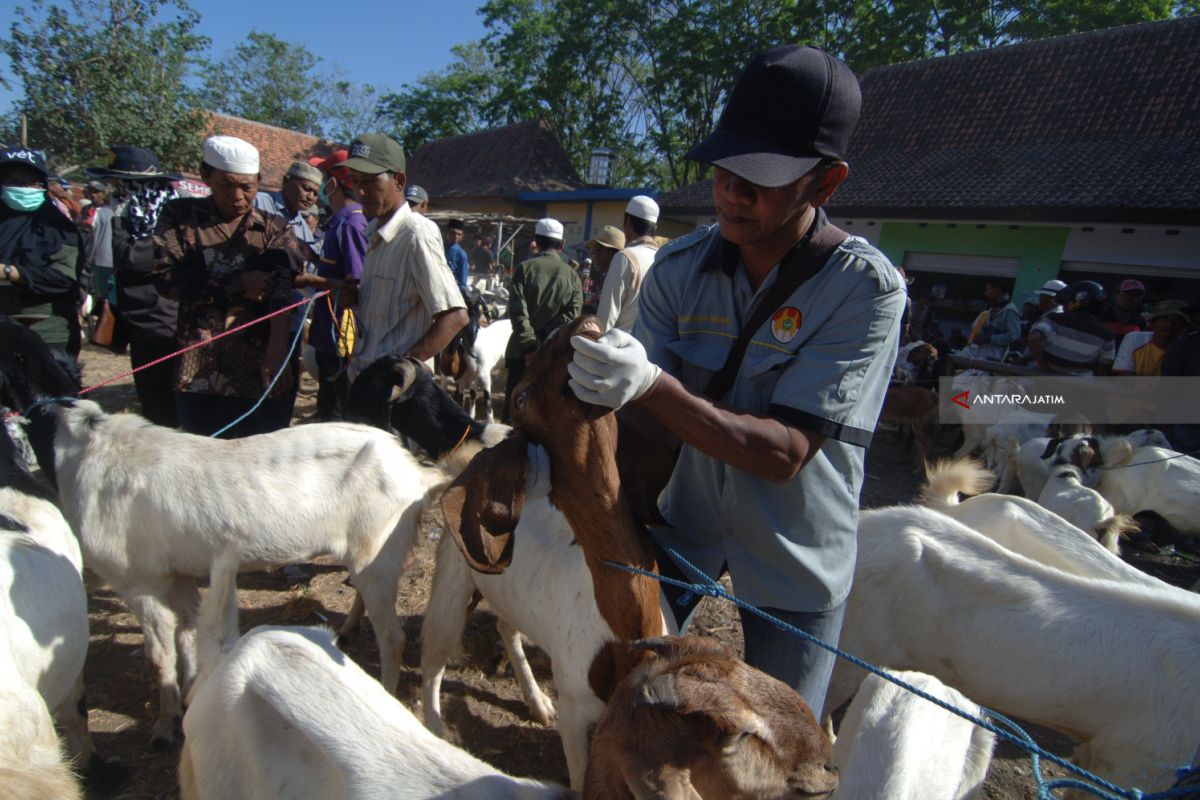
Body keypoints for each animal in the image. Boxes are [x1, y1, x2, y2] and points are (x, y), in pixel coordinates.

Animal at [28, 402, 458, 748]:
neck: (89, 450)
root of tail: (415, 474)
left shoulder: (139, 581)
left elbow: (160, 653)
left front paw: (165, 726)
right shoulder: (178, 573)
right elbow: (188, 630)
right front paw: (190, 694)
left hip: (376, 553)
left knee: (393, 639)